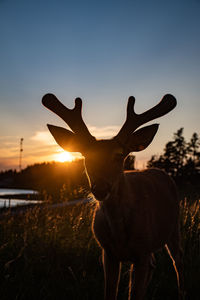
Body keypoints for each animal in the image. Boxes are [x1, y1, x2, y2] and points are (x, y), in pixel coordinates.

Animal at [42, 92, 184, 298]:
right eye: (86, 156)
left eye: (119, 155)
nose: (100, 187)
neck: (119, 234)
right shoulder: (107, 252)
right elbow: (110, 292)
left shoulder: (142, 251)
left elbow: (135, 294)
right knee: (154, 264)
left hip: (174, 228)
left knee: (178, 261)